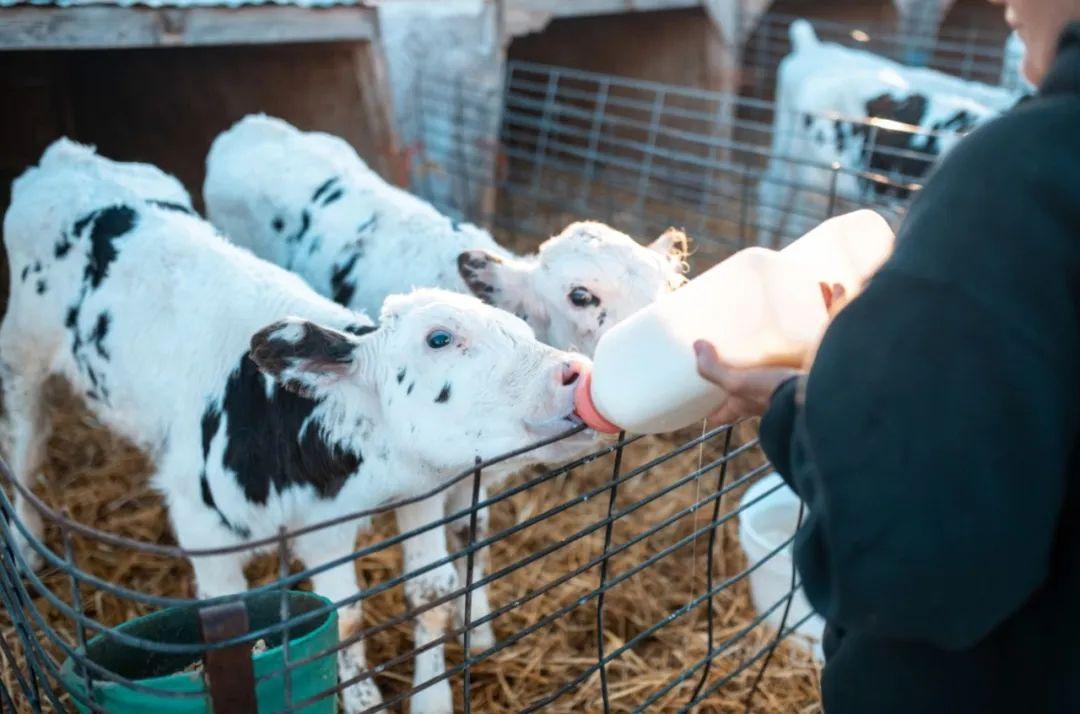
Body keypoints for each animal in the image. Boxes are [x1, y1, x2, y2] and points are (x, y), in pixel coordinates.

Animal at [2, 141, 591, 712]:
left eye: (525, 328)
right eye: (440, 338)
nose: (573, 372)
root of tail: (65, 155)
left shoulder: (397, 502)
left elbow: (417, 598)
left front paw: (427, 699)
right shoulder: (204, 532)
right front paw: (363, 701)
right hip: (21, 358)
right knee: (24, 460)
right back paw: (27, 552)